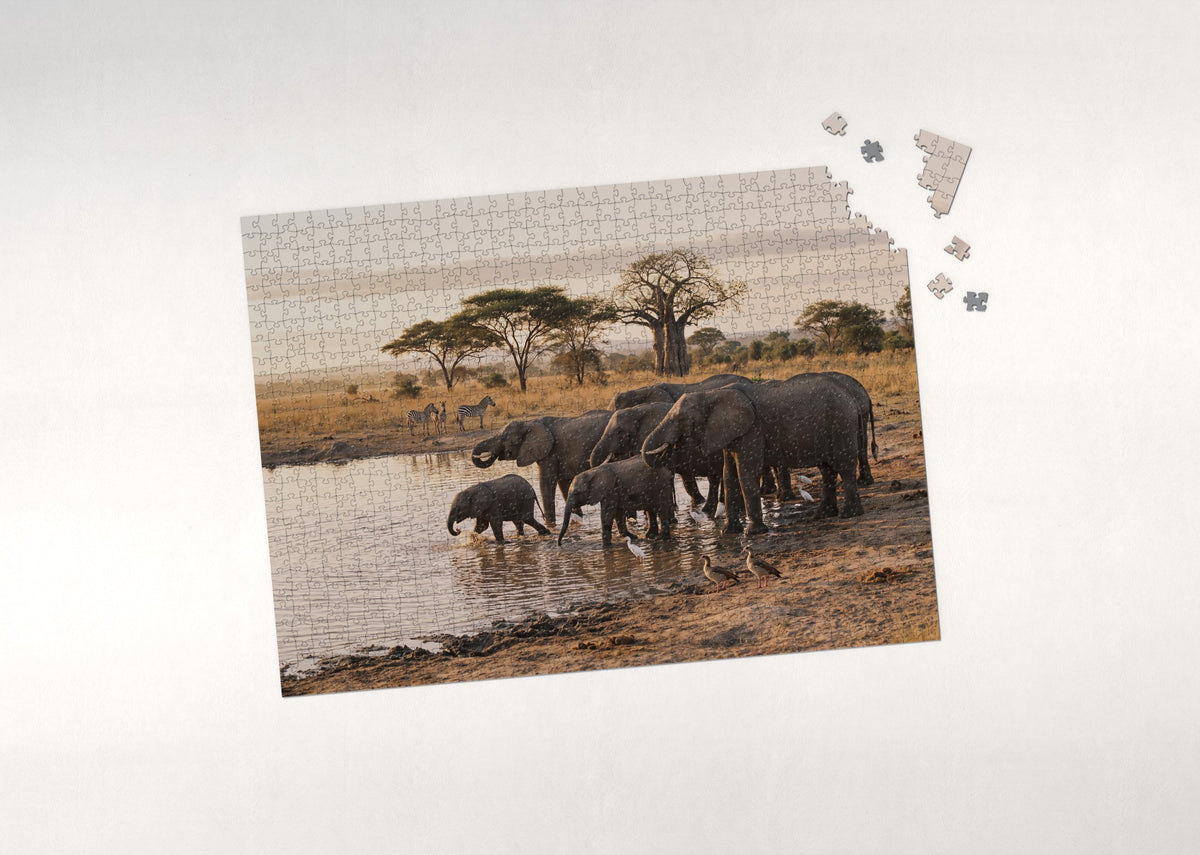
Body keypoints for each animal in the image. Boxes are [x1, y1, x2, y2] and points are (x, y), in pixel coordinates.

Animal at [470, 410, 612, 527]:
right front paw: (576, 518)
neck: (528, 422)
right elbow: (563, 484)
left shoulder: (550, 453)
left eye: (504, 438)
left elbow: (546, 483)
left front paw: (550, 524)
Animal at [642, 373, 863, 535]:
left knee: (844, 467)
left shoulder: (751, 430)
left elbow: (745, 472)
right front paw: (728, 532)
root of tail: (852, 395)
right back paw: (823, 515)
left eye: (681, 419)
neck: (710, 394)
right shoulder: (729, 434)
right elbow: (729, 474)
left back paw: (848, 514)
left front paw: (753, 532)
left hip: (841, 423)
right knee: (827, 470)